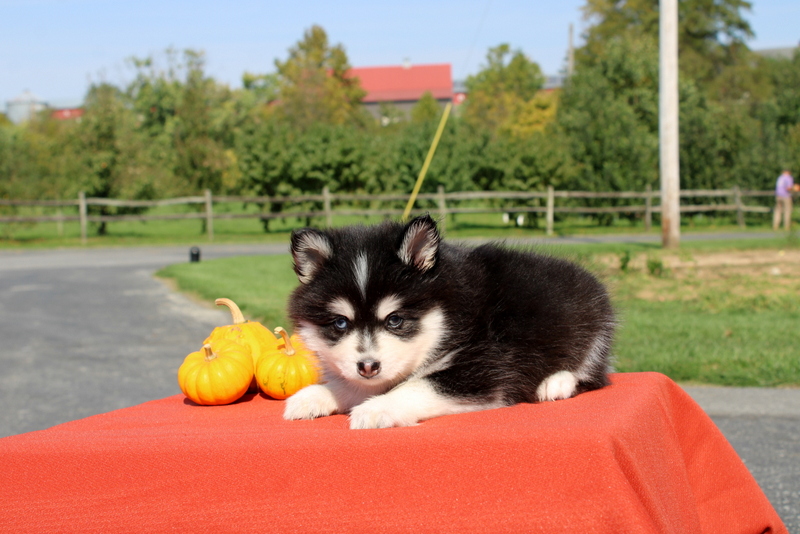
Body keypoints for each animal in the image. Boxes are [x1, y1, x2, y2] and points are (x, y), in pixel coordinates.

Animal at [284, 216, 616, 430]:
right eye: (340, 323)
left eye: (395, 320)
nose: (367, 366)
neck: (449, 317)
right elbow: (358, 384)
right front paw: (316, 395)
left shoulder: (488, 368)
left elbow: (420, 384)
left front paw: (379, 407)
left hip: (594, 328)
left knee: (594, 375)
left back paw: (556, 383)